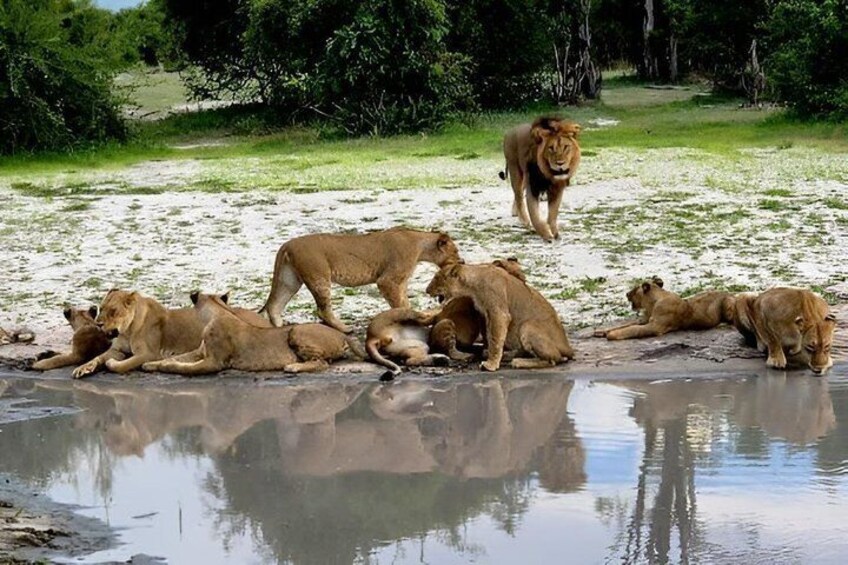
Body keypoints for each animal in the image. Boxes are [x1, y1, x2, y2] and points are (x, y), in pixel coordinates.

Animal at [71, 289, 206, 378]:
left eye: (113, 311)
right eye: (101, 308)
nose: (98, 324)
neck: (127, 331)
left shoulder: (149, 354)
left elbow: (121, 366)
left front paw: (112, 362)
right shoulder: (116, 349)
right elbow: (97, 357)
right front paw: (83, 368)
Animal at [142, 292, 365, 375]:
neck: (218, 312)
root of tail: (343, 335)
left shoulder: (214, 362)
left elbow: (180, 366)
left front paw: (165, 366)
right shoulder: (200, 352)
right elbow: (177, 358)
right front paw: (150, 364)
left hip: (296, 331)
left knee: (322, 363)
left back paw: (292, 366)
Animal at [259, 227, 461, 333]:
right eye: (456, 251)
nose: (462, 261)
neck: (421, 245)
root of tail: (286, 244)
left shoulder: (400, 282)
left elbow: (404, 301)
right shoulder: (387, 280)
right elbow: (402, 304)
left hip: (289, 280)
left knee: (275, 305)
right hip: (319, 277)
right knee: (323, 310)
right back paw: (345, 329)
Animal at [426, 262, 574, 371]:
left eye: (437, 278)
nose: (426, 290)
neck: (473, 285)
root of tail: (568, 348)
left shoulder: (499, 313)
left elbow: (495, 340)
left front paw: (490, 365)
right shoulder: (487, 314)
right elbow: (491, 337)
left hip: (527, 326)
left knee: (553, 360)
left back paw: (519, 362)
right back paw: (508, 355)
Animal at [594, 277, 736, 340]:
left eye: (635, 288)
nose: (626, 294)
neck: (651, 304)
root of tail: (730, 293)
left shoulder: (655, 327)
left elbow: (633, 329)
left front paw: (611, 335)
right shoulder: (644, 320)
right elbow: (625, 325)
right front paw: (601, 331)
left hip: (727, 304)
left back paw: (722, 324)